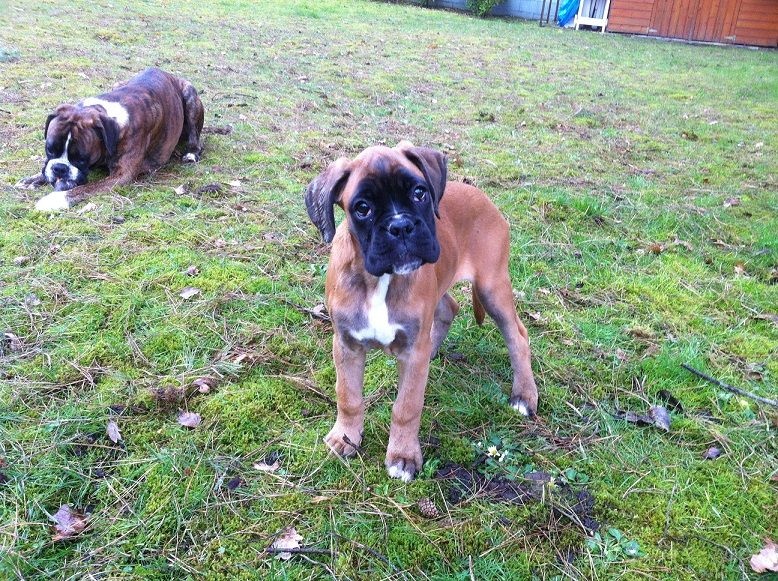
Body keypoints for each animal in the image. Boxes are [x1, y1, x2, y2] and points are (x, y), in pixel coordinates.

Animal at [17, 67, 204, 211]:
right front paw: (32, 179)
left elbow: (86, 188)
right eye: (49, 150)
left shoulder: (122, 176)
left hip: (190, 94)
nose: (60, 169)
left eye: (81, 159)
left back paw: (191, 153)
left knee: (195, 137)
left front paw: (54, 199)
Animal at [305, 141, 539, 482]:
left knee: (518, 336)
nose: (400, 226)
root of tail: (483, 198)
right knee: (449, 308)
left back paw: (524, 395)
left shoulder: (412, 347)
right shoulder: (346, 344)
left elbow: (407, 406)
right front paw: (345, 437)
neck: (379, 280)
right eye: (362, 208)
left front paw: (402, 456)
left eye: (419, 193)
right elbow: (348, 396)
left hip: (492, 287)